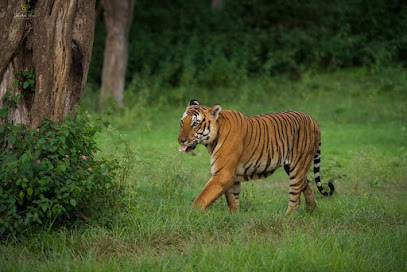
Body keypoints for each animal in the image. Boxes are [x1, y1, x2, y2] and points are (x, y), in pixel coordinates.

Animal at [178, 99, 334, 214]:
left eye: (195, 123)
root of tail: (313, 120)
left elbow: (202, 198)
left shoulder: (223, 174)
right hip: (292, 167)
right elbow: (232, 199)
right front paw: (234, 216)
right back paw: (312, 211)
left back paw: (287, 218)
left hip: (298, 166)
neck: (212, 141)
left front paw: (189, 215)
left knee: (295, 197)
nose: (180, 140)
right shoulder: (232, 176)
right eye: (182, 122)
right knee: (307, 185)